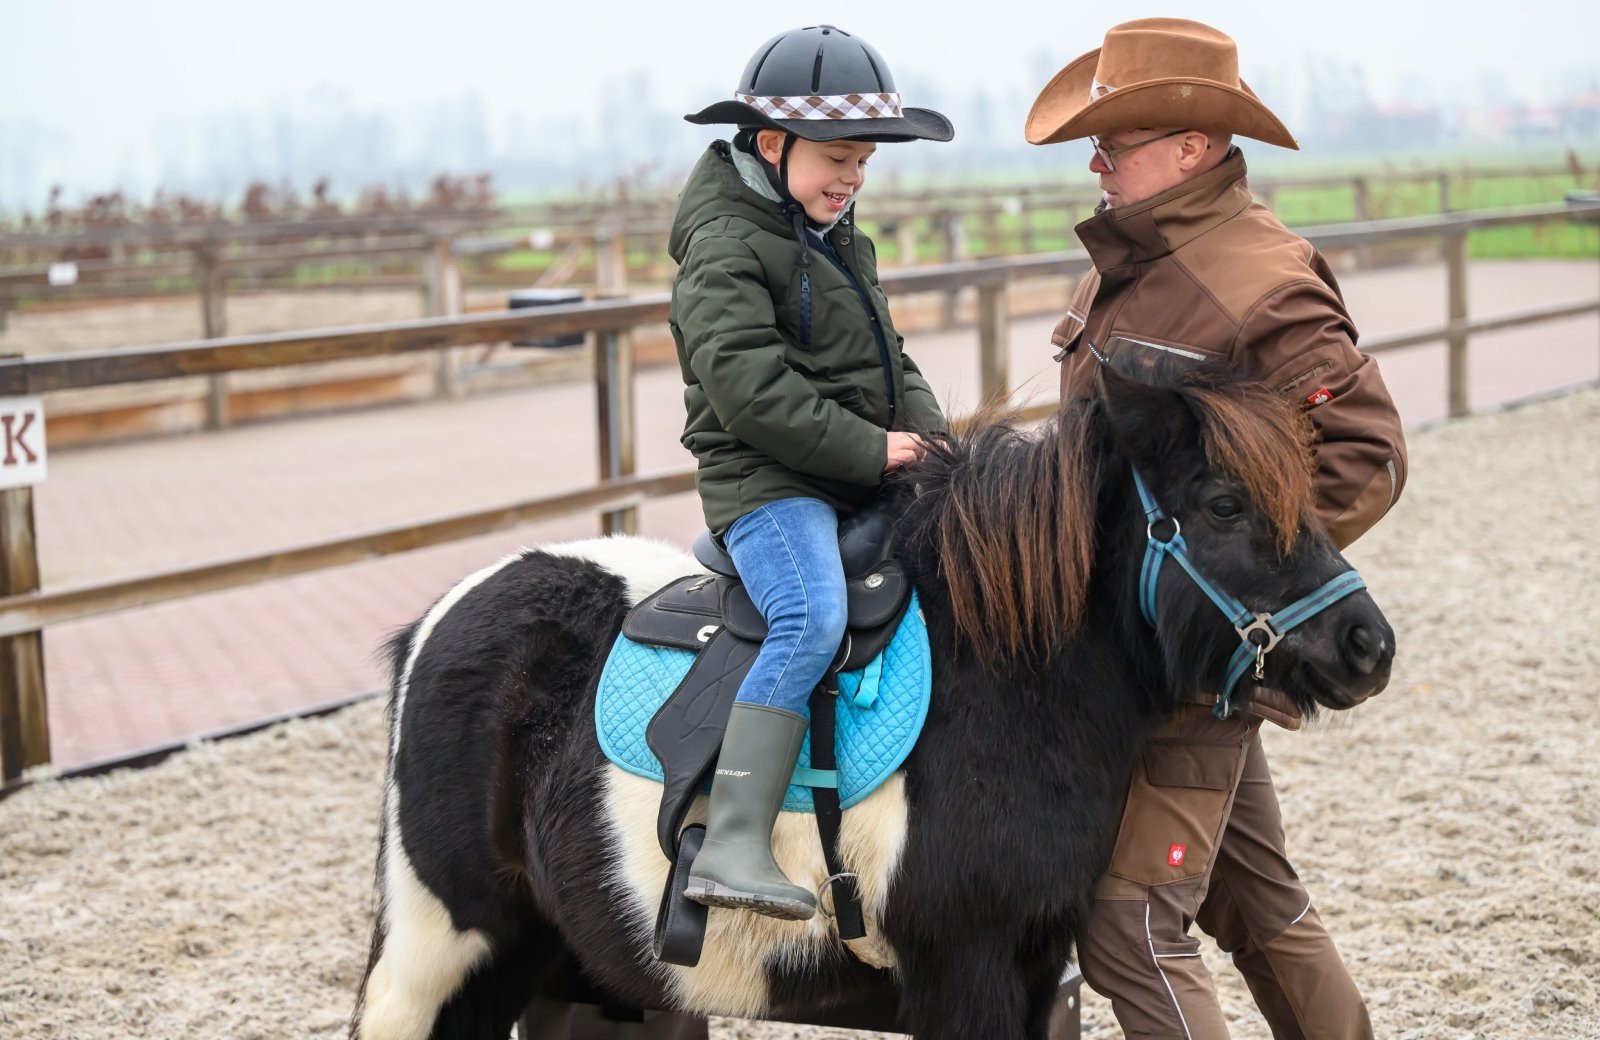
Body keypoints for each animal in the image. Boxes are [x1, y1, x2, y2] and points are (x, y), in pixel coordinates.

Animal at [349, 361, 1395, 1040]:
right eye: (1223, 505)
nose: (1368, 645)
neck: (1008, 681)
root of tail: (441, 618)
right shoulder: (963, 974)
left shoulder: (1033, 972)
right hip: (439, 953)